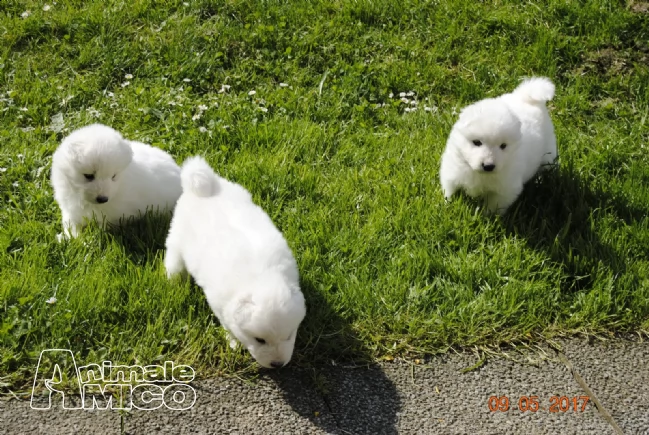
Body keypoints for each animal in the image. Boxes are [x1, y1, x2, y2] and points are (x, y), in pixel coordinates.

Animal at [49, 122, 182, 240]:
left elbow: (103, 226)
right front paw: (72, 238)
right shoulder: (70, 208)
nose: (103, 199)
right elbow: (70, 224)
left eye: (113, 176)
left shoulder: (112, 215)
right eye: (89, 176)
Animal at [162, 156, 304, 368]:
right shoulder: (220, 304)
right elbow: (228, 325)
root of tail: (206, 187)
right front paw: (233, 342)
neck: (263, 278)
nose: (278, 364)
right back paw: (174, 280)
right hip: (177, 238)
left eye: (289, 336)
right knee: (174, 258)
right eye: (259, 340)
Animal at [440, 78, 556, 216]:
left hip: (548, 152)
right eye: (477, 142)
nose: (488, 166)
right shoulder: (452, 171)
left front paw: (487, 217)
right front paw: (448, 205)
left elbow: (493, 206)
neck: (480, 174)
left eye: (503, 146)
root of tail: (527, 97)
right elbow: (450, 190)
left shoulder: (505, 190)